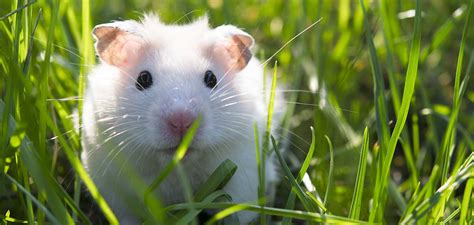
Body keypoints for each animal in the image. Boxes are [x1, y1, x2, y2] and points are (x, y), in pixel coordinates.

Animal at [81, 14, 282, 225]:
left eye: (211, 79)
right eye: (143, 79)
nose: (182, 121)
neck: (178, 168)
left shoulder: (244, 175)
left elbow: (237, 211)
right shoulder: (116, 189)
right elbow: (127, 216)